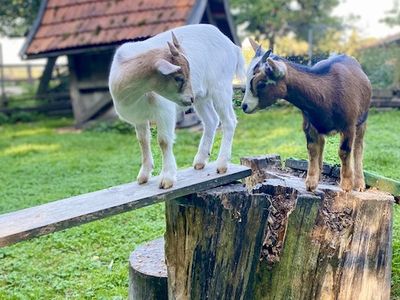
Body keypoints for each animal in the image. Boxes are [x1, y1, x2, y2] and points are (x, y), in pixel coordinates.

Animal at [109, 24, 247, 188]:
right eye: (179, 77)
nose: (190, 98)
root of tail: (231, 45)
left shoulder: (164, 111)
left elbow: (163, 141)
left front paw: (167, 179)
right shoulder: (139, 118)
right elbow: (143, 141)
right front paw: (143, 175)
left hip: (221, 87)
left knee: (229, 121)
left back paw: (222, 164)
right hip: (202, 96)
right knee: (211, 120)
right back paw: (200, 161)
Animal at [242, 41, 374, 191]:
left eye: (261, 83)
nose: (244, 106)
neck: (328, 92)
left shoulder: (348, 125)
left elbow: (344, 151)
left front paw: (346, 185)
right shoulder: (309, 124)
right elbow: (312, 149)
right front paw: (311, 183)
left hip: (362, 120)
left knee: (358, 147)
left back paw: (359, 183)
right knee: (322, 142)